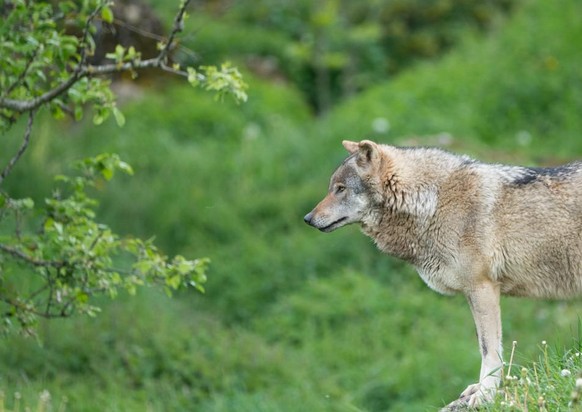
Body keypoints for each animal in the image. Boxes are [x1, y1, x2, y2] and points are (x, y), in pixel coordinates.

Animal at [304, 140, 582, 410]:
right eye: (332, 188)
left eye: (340, 189)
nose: (307, 218)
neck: (434, 202)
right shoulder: (475, 293)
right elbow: (484, 346)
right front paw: (480, 389)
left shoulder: (482, 288)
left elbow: (489, 349)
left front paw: (486, 394)